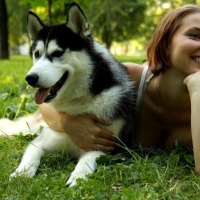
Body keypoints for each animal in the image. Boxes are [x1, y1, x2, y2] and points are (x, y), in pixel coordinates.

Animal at [8, 2, 135, 187]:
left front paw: (78, 176)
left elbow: (88, 159)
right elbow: (31, 154)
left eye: (57, 53)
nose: (30, 78)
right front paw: (21, 173)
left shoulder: (109, 146)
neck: (78, 102)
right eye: (36, 54)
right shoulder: (42, 140)